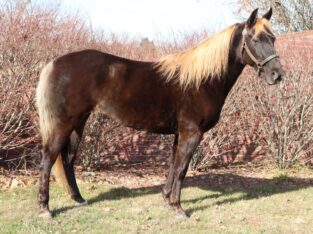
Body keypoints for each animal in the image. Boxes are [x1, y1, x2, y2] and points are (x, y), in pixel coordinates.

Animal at [36, 7, 282, 219]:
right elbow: (182, 169)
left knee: (67, 159)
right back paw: (45, 208)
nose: (277, 74)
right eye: (256, 39)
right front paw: (178, 208)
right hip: (63, 124)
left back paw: (78, 198)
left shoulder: (179, 134)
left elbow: (173, 165)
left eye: (273, 39)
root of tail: (54, 63)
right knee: (48, 158)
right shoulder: (191, 133)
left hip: (78, 123)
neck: (202, 80)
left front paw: (167, 199)